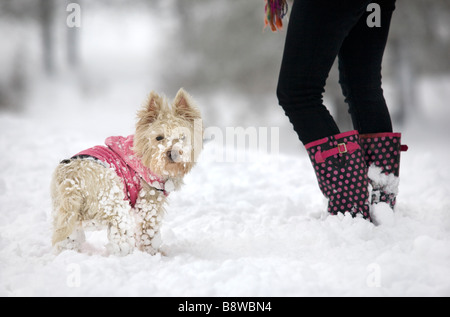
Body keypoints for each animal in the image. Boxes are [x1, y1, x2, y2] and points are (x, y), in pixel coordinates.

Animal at [50, 88, 202, 254]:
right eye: (159, 137)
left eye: (182, 137)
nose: (173, 153)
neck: (145, 157)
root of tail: (72, 180)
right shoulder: (148, 205)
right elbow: (149, 235)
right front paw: (152, 253)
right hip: (116, 210)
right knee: (119, 243)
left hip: (66, 216)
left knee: (67, 240)